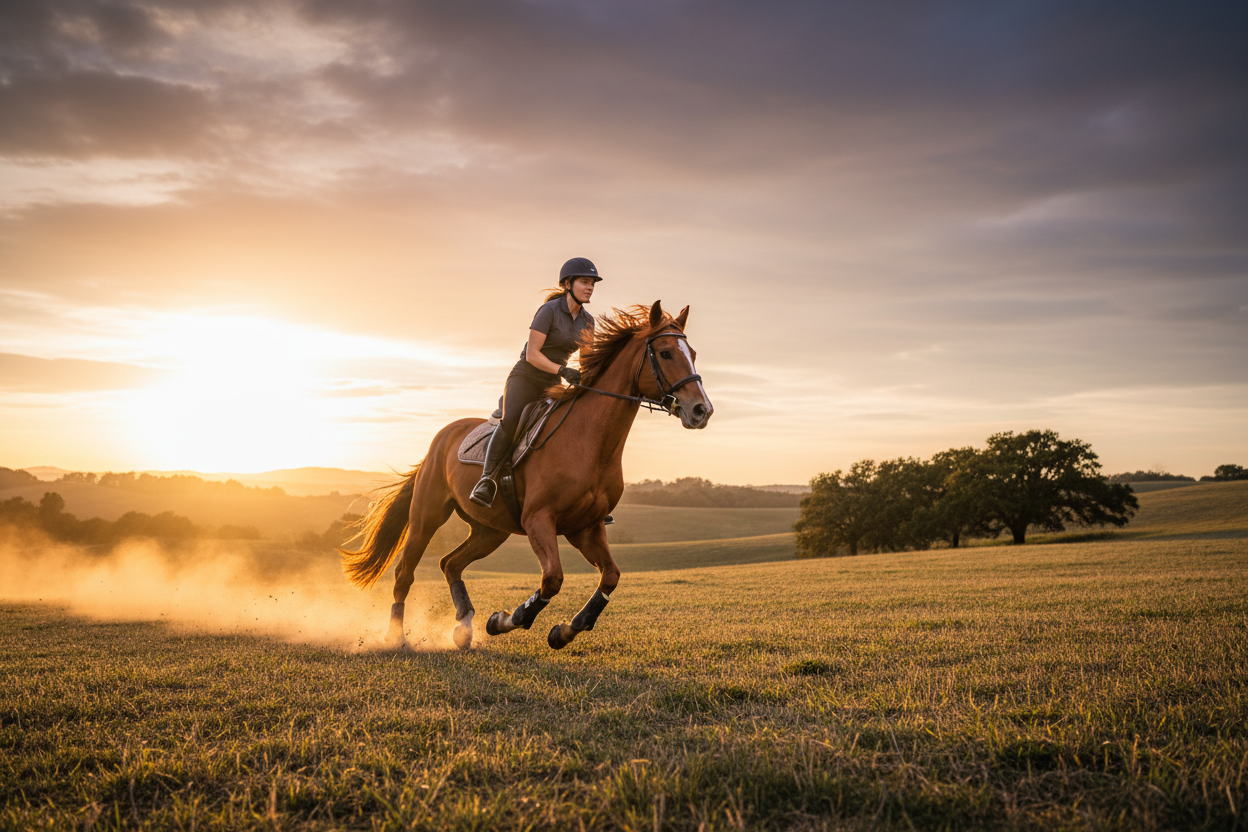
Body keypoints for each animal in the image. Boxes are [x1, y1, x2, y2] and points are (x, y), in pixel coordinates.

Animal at [340, 300, 713, 650]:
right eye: (665, 353)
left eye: (693, 354)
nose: (701, 410)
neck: (589, 441)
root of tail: (442, 437)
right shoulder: (539, 519)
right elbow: (552, 580)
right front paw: (505, 620)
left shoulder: (585, 527)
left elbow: (610, 577)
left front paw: (565, 631)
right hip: (427, 516)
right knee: (405, 572)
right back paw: (396, 636)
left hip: (490, 531)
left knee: (450, 564)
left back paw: (464, 627)